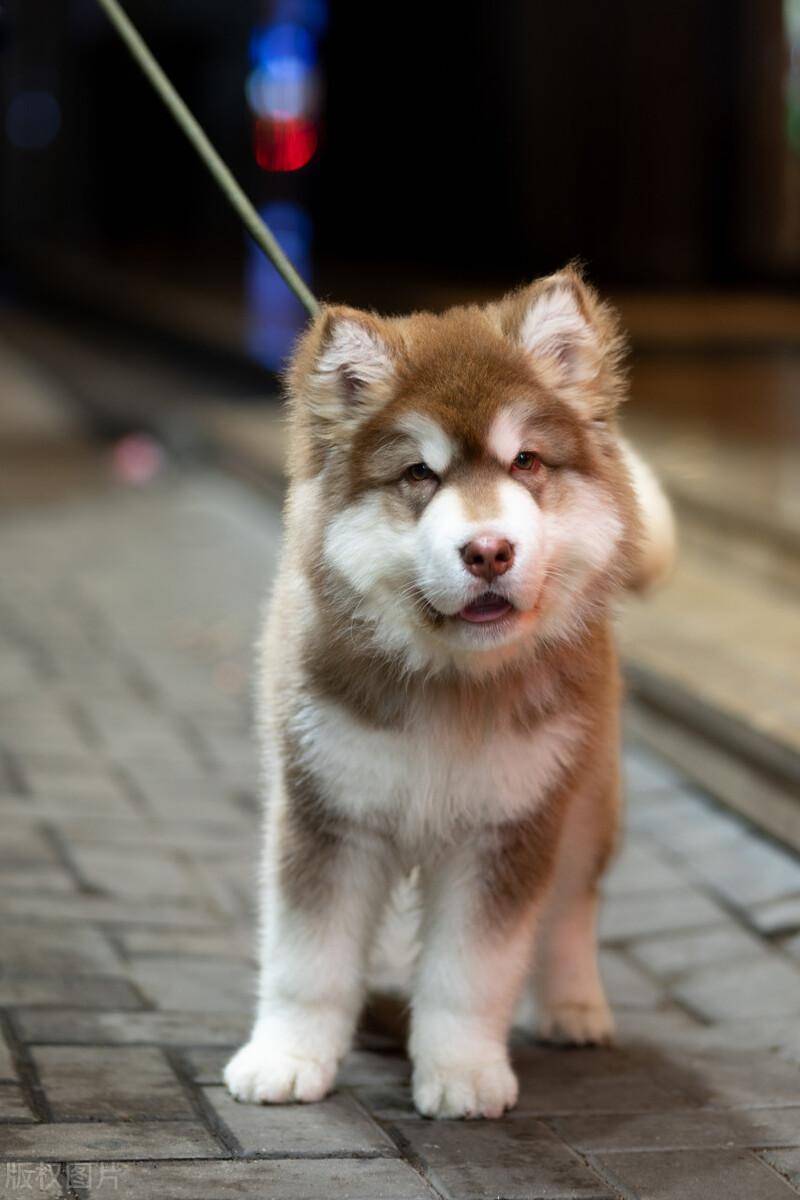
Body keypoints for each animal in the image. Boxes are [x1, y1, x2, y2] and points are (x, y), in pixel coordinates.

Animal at [224, 267, 676, 1118]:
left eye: (526, 462)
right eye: (419, 475)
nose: (489, 551)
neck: (452, 686)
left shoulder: (507, 830)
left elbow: (473, 972)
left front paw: (462, 1070)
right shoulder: (326, 813)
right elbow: (307, 959)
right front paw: (289, 1058)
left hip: (587, 795)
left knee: (572, 910)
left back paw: (574, 1006)